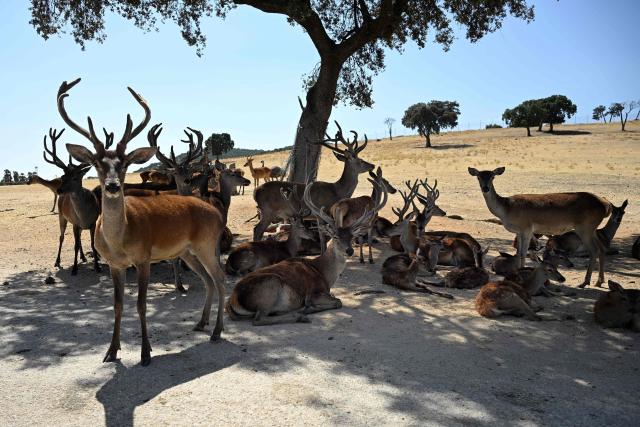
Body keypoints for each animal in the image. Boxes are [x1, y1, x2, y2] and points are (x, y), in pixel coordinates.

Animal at [42, 128, 102, 275]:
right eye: (63, 176)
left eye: (75, 177)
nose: (59, 190)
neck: (84, 215)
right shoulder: (75, 223)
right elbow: (74, 245)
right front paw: (74, 269)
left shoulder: (93, 223)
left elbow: (92, 244)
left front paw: (97, 267)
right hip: (61, 216)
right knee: (61, 237)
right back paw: (57, 261)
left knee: (79, 239)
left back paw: (83, 257)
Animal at [60, 78, 226, 366]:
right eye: (97, 164)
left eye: (125, 164)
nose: (113, 186)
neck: (120, 241)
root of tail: (216, 212)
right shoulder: (114, 264)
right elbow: (117, 305)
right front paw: (111, 351)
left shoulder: (144, 257)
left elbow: (141, 304)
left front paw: (146, 353)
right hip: (188, 251)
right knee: (208, 280)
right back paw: (201, 323)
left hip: (206, 244)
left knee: (221, 279)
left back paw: (217, 331)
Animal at [226, 179, 387, 326]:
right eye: (335, 236)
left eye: (352, 237)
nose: (350, 250)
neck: (324, 273)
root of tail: (233, 300)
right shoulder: (316, 291)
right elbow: (338, 301)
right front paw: (310, 306)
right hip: (270, 287)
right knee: (258, 319)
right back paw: (301, 315)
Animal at [468, 166, 612, 288]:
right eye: (478, 177)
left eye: (492, 176)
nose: (485, 188)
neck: (507, 209)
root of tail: (605, 205)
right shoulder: (519, 232)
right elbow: (518, 252)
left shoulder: (526, 228)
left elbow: (522, 253)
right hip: (592, 229)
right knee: (602, 248)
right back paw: (599, 281)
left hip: (584, 227)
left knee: (594, 250)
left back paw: (584, 282)